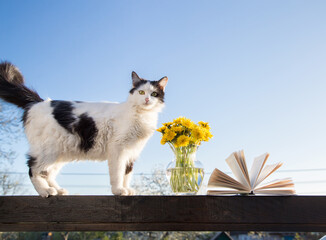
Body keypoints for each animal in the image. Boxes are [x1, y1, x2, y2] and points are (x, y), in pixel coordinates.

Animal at [0, 62, 168, 197]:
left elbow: (127, 173)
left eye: (154, 94)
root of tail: (38, 102)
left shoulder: (132, 152)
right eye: (141, 92)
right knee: (33, 169)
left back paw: (58, 190)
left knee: (47, 173)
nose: (147, 99)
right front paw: (118, 190)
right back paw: (45, 191)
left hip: (60, 153)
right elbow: (118, 172)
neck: (141, 116)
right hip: (48, 150)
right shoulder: (118, 148)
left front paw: (127, 189)